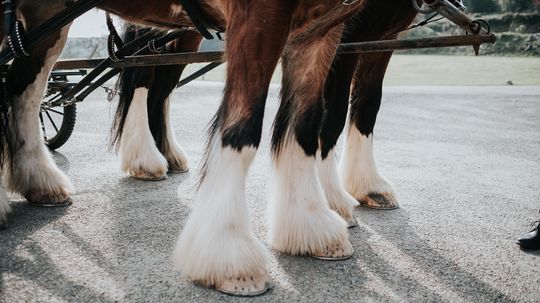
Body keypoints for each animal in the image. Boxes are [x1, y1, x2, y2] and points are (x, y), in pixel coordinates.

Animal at [0, 0, 426, 296]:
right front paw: (229, 252)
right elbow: (246, 127)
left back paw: (40, 178)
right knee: (137, 79)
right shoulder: (266, 17)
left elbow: (314, 122)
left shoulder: (329, 28)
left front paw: (311, 222)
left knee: (26, 85)